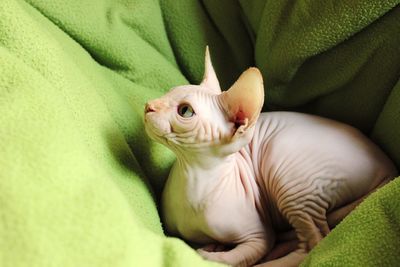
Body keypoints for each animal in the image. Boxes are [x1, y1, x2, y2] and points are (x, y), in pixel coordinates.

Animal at [143, 48, 396, 267]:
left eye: (185, 111)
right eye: (169, 92)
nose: (148, 106)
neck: (192, 177)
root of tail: (388, 167)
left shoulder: (258, 235)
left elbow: (239, 254)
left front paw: (210, 254)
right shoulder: (171, 229)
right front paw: (213, 245)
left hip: (285, 167)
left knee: (313, 243)